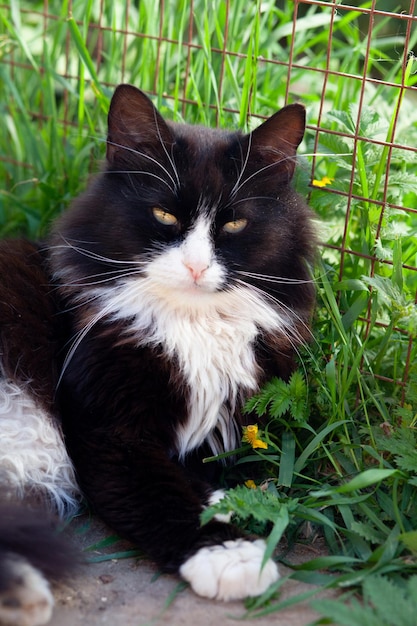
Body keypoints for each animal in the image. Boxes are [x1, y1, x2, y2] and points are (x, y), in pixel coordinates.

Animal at [0, 84, 314, 624]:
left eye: (233, 223)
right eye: (165, 215)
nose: (195, 267)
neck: (192, 325)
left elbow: (198, 476)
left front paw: (234, 505)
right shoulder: (108, 432)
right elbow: (161, 495)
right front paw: (232, 555)